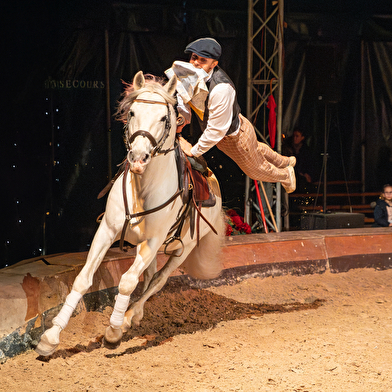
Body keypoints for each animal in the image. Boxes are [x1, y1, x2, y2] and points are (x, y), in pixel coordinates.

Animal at [35, 72, 225, 356]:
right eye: (132, 111)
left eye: (164, 118)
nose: (137, 158)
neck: (143, 188)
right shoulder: (106, 231)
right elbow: (83, 279)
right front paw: (51, 336)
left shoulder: (153, 242)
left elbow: (127, 281)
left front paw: (113, 332)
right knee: (147, 277)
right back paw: (133, 316)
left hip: (183, 249)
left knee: (157, 280)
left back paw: (127, 317)